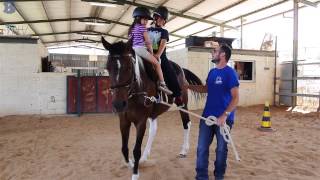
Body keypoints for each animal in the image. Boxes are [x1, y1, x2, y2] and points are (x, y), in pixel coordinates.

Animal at [101, 37, 204, 180]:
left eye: (129, 67)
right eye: (108, 67)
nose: (118, 104)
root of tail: (181, 69)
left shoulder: (141, 121)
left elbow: (136, 150)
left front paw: (135, 173)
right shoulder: (124, 121)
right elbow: (124, 148)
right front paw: (131, 164)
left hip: (182, 103)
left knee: (186, 124)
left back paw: (184, 150)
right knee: (153, 130)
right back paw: (145, 158)